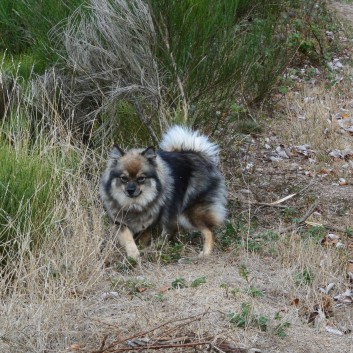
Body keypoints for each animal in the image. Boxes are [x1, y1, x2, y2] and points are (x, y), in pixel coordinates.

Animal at [99, 125, 227, 258]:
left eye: (141, 178)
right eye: (124, 178)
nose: (130, 190)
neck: (135, 205)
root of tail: (197, 153)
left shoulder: (149, 223)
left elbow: (144, 236)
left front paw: (139, 252)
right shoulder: (119, 222)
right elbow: (128, 237)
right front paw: (134, 253)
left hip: (188, 213)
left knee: (208, 230)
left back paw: (205, 252)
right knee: (172, 231)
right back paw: (159, 245)